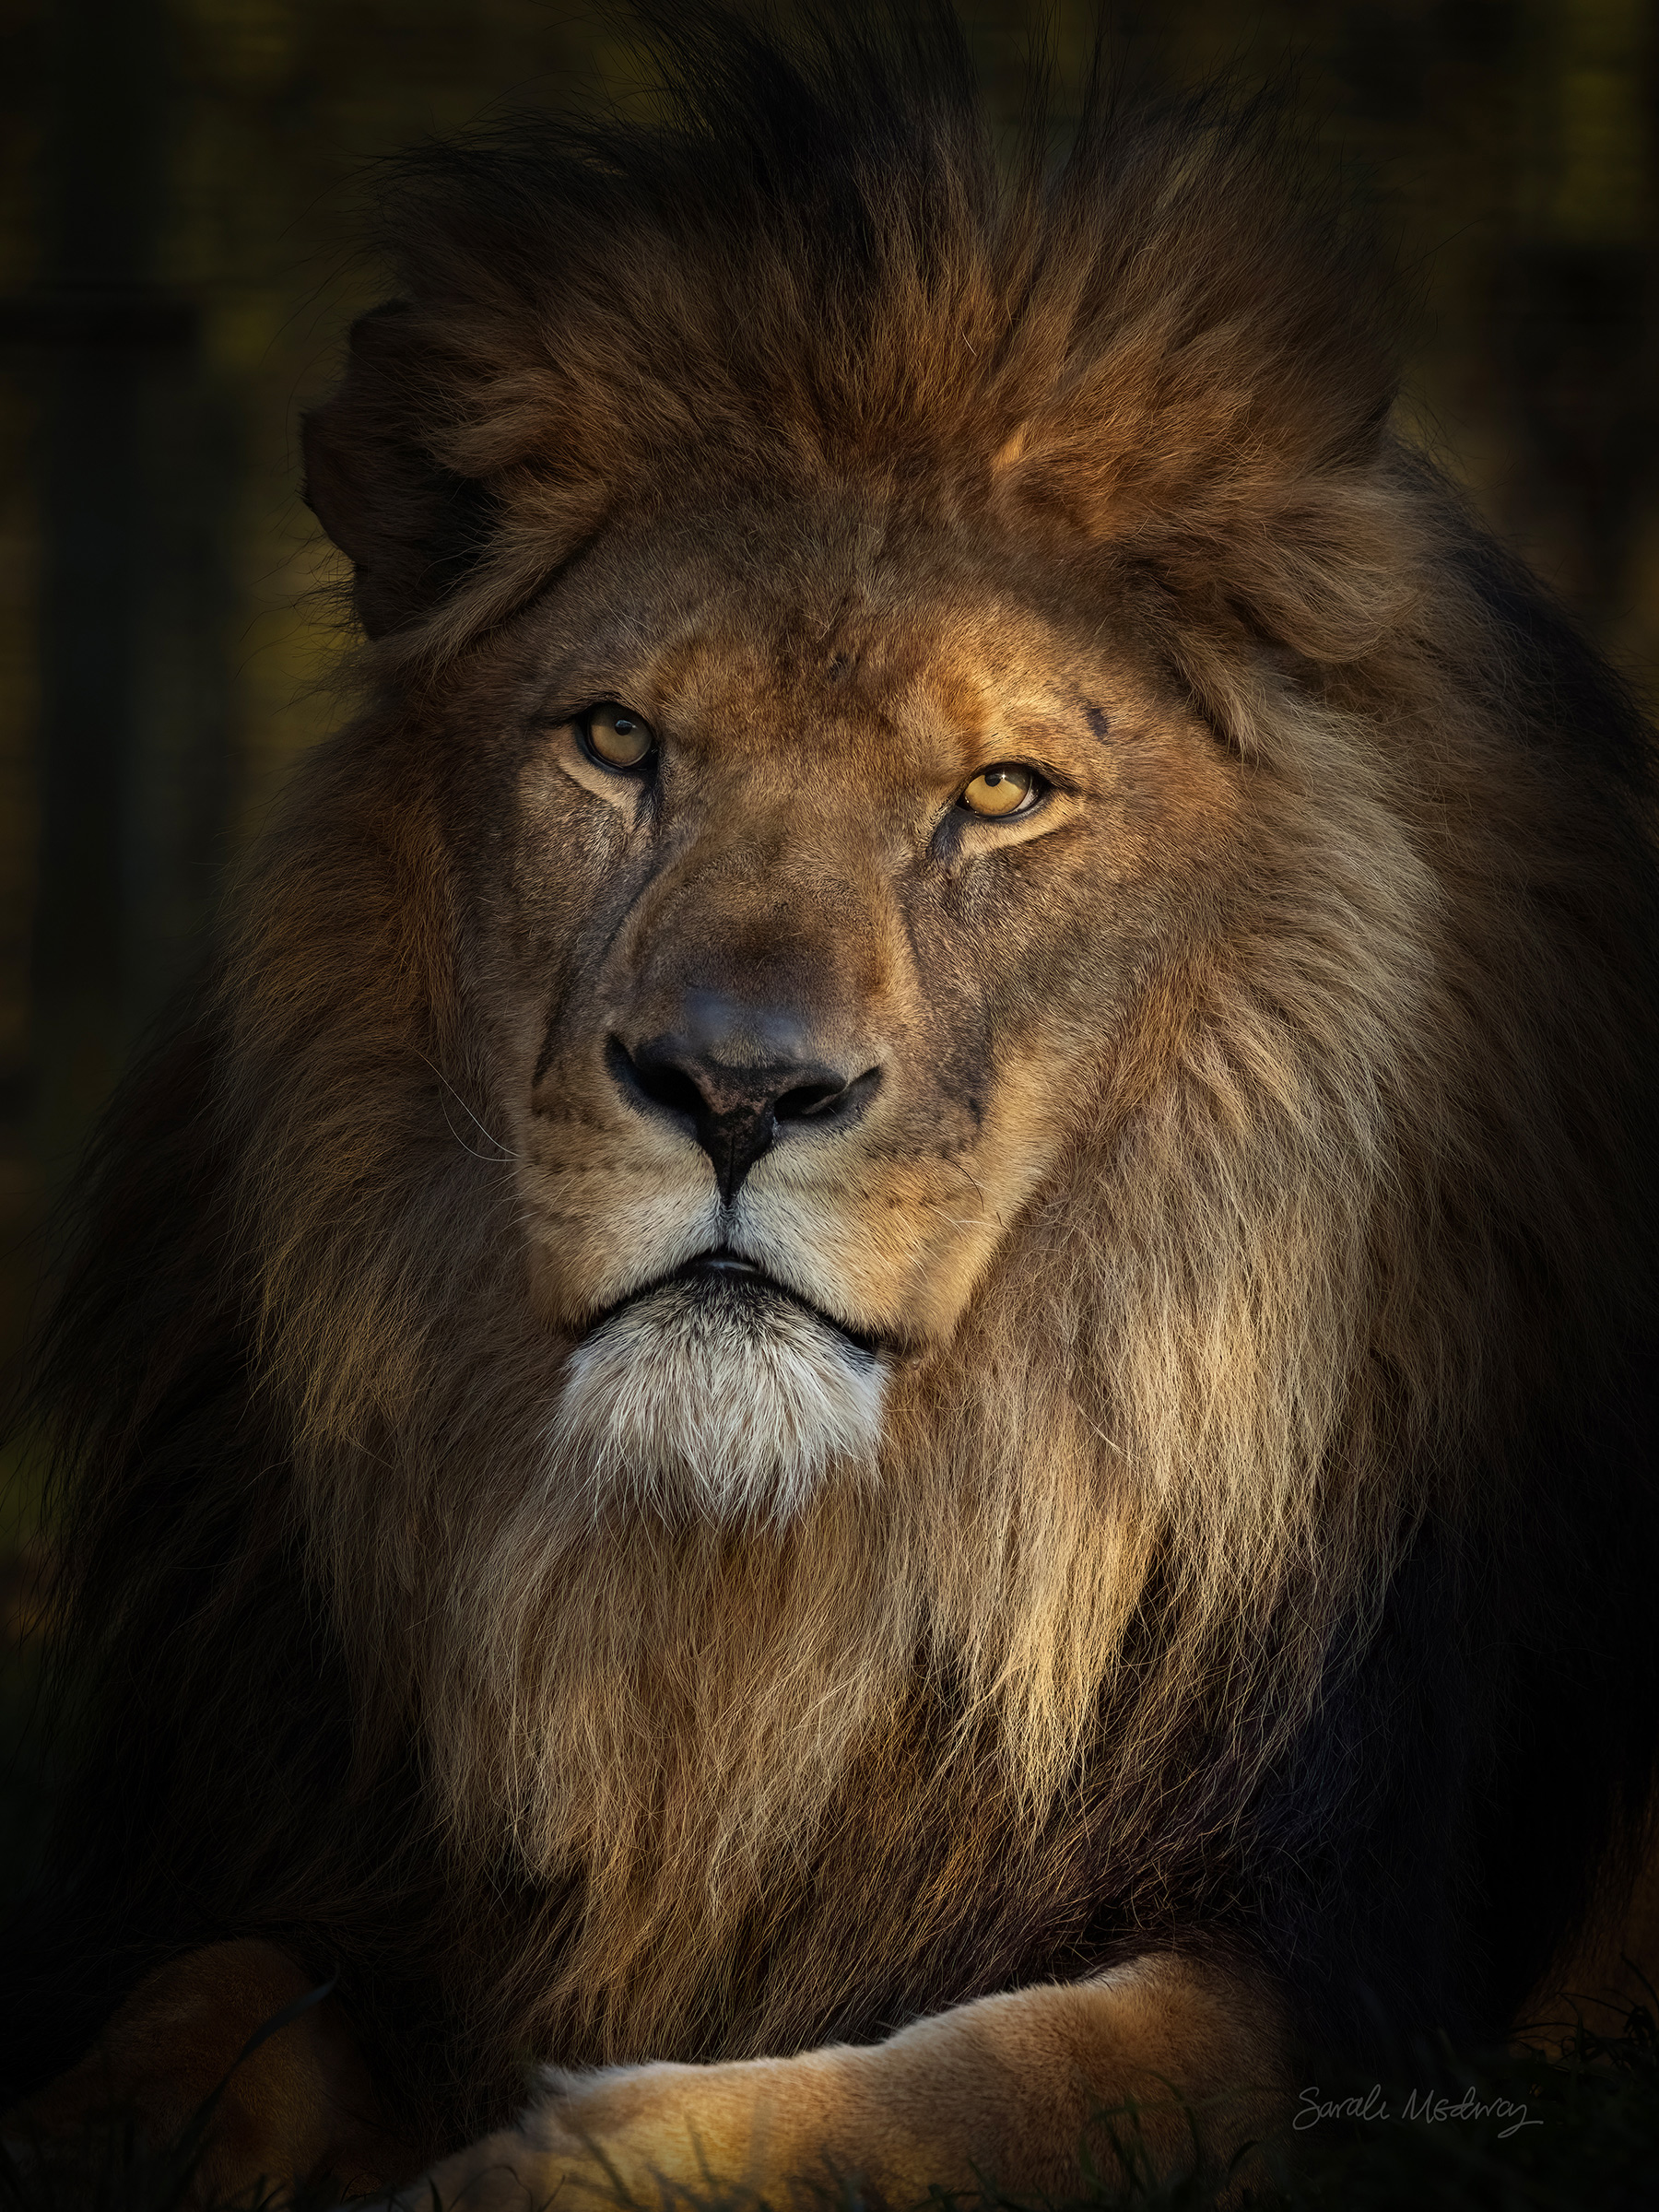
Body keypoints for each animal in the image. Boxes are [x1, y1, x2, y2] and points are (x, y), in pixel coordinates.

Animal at [6, 5, 1659, 2206]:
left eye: (1001, 793)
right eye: (620, 741)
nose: (734, 1088)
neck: (785, 1609)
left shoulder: (1352, 1964)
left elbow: (991, 2089)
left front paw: (559, 2166)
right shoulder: (305, 1857)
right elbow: (199, 2009)